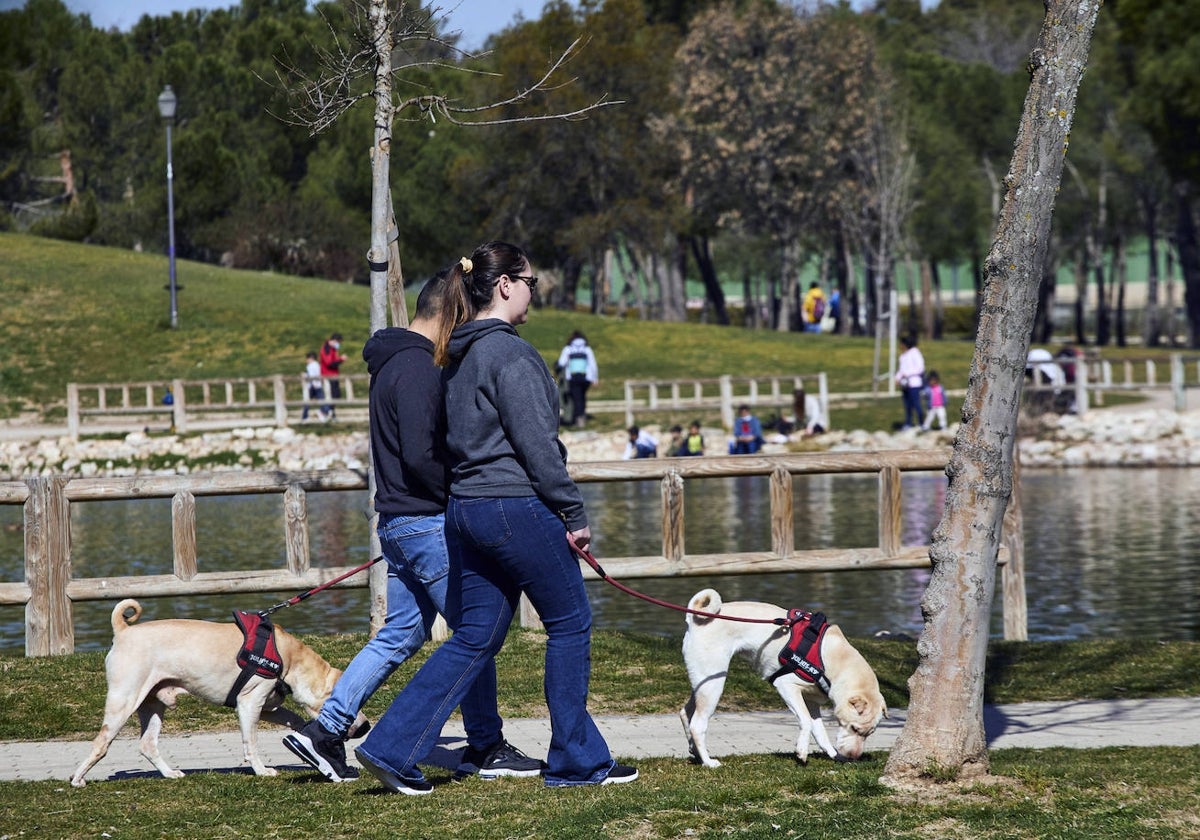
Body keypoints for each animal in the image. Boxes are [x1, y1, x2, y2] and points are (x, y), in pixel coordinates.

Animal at [69, 597, 360, 787]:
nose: (366, 726)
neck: (288, 656)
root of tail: (123, 631)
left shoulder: (268, 706)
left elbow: (295, 718)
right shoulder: (249, 703)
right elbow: (251, 743)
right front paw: (262, 770)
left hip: (152, 702)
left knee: (147, 744)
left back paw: (169, 773)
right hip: (125, 699)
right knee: (101, 743)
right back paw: (77, 778)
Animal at [681, 590, 888, 768]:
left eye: (870, 734)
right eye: (854, 728)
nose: (854, 757)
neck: (836, 661)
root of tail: (695, 619)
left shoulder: (812, 702)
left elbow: (819, 731)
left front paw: (832, 754)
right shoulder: (786, 685)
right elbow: (805, 721)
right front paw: (802, 751)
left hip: (703, 682)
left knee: (686, 713)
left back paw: (695, 752)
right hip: (713, 684)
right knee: (697, 724)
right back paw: (708, 762)